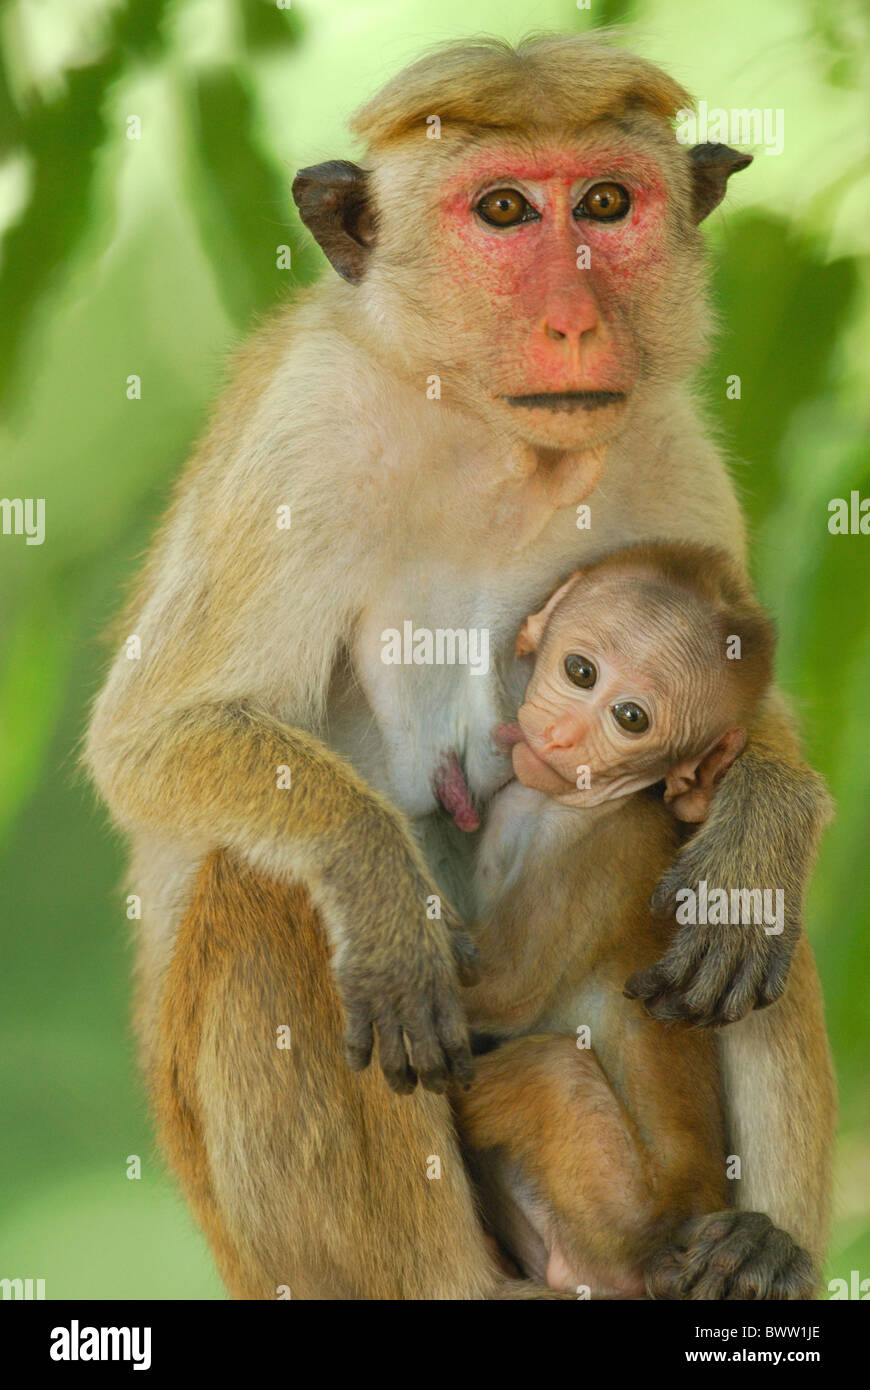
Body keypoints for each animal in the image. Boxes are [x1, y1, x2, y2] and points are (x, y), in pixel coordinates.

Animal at [449, 540, 817, 1297]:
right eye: (580, 671)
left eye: (631, 719)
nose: (563, 737)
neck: (561, 803)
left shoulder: (599, 854)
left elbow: (502, 988)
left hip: (619, 1205)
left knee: (550, 1069)